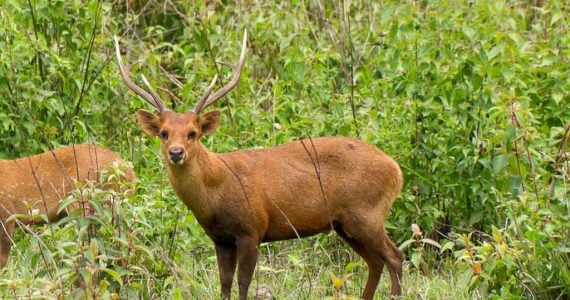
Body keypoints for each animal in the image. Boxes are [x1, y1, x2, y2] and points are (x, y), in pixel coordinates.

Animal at [113, 31, 402, 298]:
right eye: (164, 133)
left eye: (192, 133)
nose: (176, 152)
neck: (216, 192)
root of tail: (396, 170)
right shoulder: (221, 239)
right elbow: (225, 285)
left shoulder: (252, 228)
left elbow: (243, 284)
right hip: (346, 223)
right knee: (376, 261)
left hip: (367, 212)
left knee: (394, 256)